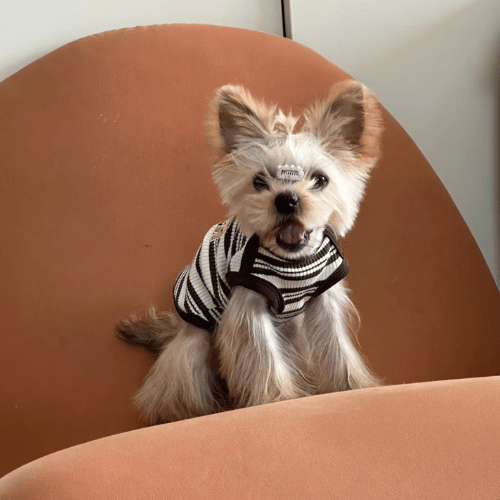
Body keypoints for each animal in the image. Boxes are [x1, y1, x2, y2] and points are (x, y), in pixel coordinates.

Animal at [117, 80, 382, 424]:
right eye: (258, 182)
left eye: (320, 179)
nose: (287, 199)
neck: (291, 262)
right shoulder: (249, 304)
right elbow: (264, 358)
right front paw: (279, 399)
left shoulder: (324, 302)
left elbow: (336, 349)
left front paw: (351, 388)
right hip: (195, 342)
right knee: (177, 381)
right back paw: (183, 410)